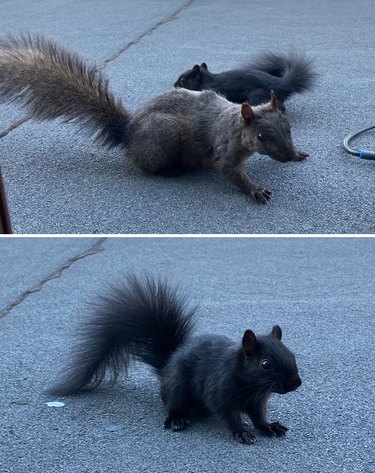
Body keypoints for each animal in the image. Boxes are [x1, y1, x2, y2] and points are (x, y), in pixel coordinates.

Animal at [50, 272, 302, 442]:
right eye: (265, 364)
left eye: (291, 354)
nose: (295, 383)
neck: (250, 385)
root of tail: (167, 365)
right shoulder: (220, 393)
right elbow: (230, 415)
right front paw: (241, 432)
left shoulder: (257, 400)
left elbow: (259, 417)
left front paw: (269, 426)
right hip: (178, 388)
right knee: (172, 406)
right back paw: (177, 420)